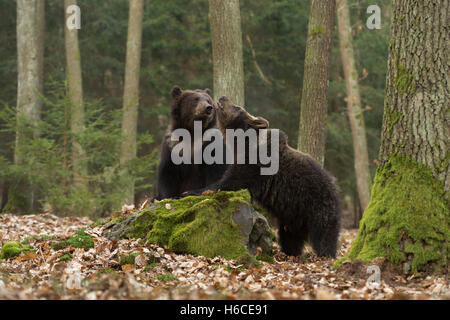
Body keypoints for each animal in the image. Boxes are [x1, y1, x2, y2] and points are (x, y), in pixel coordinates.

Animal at [183, 95, 342, 258]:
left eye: (237, 107)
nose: (223, 97)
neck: (242, 144)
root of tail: (335, 186)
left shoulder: (254, 165)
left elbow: (229, 182)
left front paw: (191, 191)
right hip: (292, 215)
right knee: (290, 236)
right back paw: (290, 253)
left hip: (317, 204)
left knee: (324, 233)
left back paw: (326, 254)